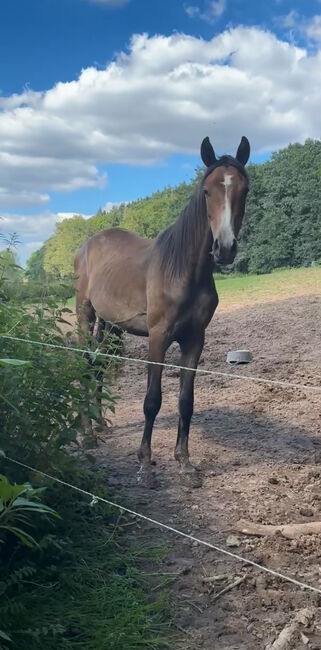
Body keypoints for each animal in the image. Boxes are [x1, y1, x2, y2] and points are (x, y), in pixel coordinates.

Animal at [75, 137, 250, 488]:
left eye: (245, 190)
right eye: (206, 190)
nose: (224, 248)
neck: (183, 270)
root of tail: (86, 246)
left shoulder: (194, 339)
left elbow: (186, 400)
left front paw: (185, 463)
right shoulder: (158, 337)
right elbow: (152, 400)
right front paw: (145, 465)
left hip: (110, 324)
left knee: (98, 367)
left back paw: (99, 424)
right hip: (85, 315)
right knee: (87, 365)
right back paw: (87, 434)